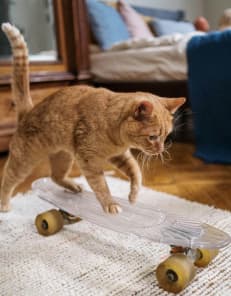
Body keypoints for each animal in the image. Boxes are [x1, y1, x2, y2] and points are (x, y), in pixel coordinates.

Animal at [0, 23, 184, 213]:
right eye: (152, 137)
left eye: (166, 137)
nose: (161, 150)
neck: (115, 135)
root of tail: (28, 111)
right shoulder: (88, 161)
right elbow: (101, 185)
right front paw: (110, 204)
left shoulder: (120, 156)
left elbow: (136, 172)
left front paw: (133, 196)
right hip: (24, 162)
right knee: (8, 179)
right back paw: (5, 205)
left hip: (63, 157)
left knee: (55, 176)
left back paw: (73, 186)